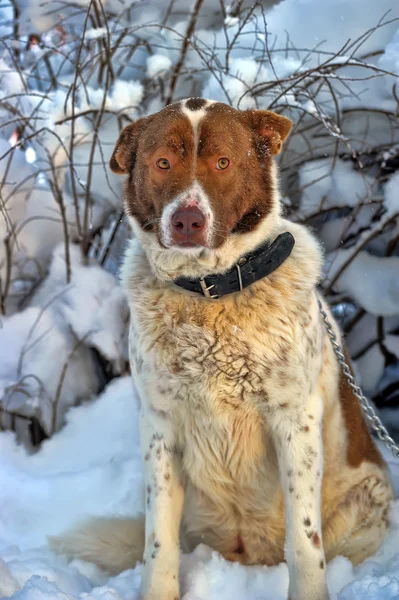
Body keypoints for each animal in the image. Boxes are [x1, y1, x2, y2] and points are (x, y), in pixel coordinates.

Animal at [54, 99, 396, 600]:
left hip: (366, 503)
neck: (210, 292)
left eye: (223, 162)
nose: (187, 221)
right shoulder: (160, 426)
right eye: (162, 162)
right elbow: (158, 542)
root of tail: (250, 550)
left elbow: (304, 540)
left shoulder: (294, 422)